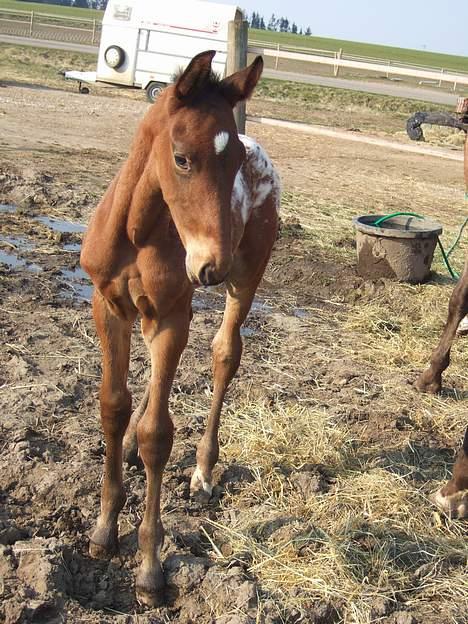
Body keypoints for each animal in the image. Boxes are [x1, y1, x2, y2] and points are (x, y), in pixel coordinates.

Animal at [80, 50, 280, 604]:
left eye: (234, 166)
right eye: (182, 159)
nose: (211, 265)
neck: (137, 231)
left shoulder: (171, 314)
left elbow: (158, 435)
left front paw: (149, 569)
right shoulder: (108, 306)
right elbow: (112, 406)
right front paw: (103, 530)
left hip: (244, 278)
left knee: (224, 354)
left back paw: (203, 473)